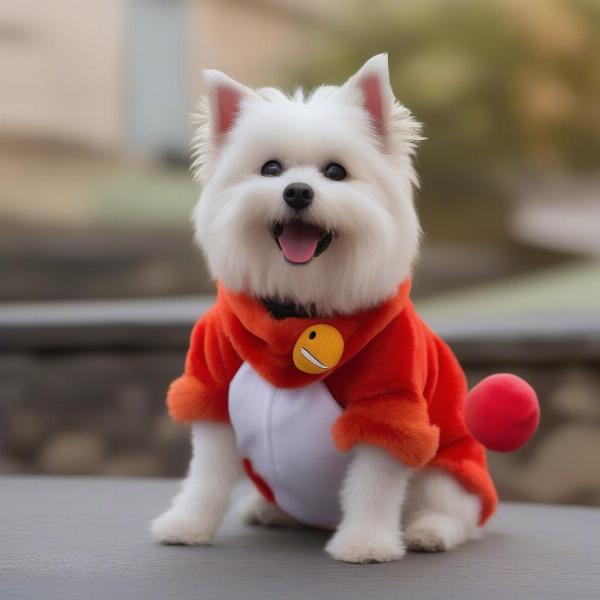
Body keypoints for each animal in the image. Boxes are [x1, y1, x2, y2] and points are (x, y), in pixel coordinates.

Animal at [152, 55, 486, 564]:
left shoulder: (388, 406)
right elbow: (206, 475)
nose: (297, 192)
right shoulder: (211, 387)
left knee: (451, 509)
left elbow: (372, 486)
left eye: (335, 172)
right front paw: (188, 524)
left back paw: (429, 532)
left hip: (447, 465)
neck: (297, 312)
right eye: (270, 168)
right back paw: (269, 510)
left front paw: (365, 543)